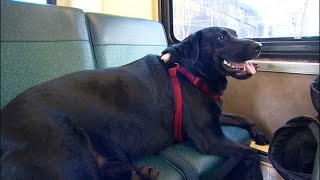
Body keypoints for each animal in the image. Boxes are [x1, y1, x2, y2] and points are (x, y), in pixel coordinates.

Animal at [1, 27, 268, 180]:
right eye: (222, 37)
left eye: (235, 33)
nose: (259, 45)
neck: (188, 71)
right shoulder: (209, 138)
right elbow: (251, 154)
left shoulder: (214, 117)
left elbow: (242, 117)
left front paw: (259, 133)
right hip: (69, 155)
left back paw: (142, 172)